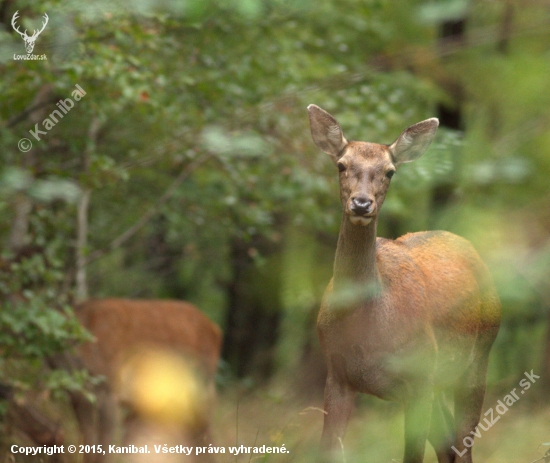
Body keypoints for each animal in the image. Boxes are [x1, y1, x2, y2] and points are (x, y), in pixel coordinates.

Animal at [49, 300, 222, 462]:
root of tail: (216, 330)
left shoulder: (109, 389)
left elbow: (104, 445)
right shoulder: (78, 397)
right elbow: (88, 440)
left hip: (199, 387)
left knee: (203, 433)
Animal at [308, 105, 502, 463]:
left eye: (390, 172)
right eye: (341, 165)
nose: (361, 203)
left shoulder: (419, 379)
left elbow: (412, 454)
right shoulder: (336, 373)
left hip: (478, 356)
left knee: (464, 440)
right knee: (448, 442)